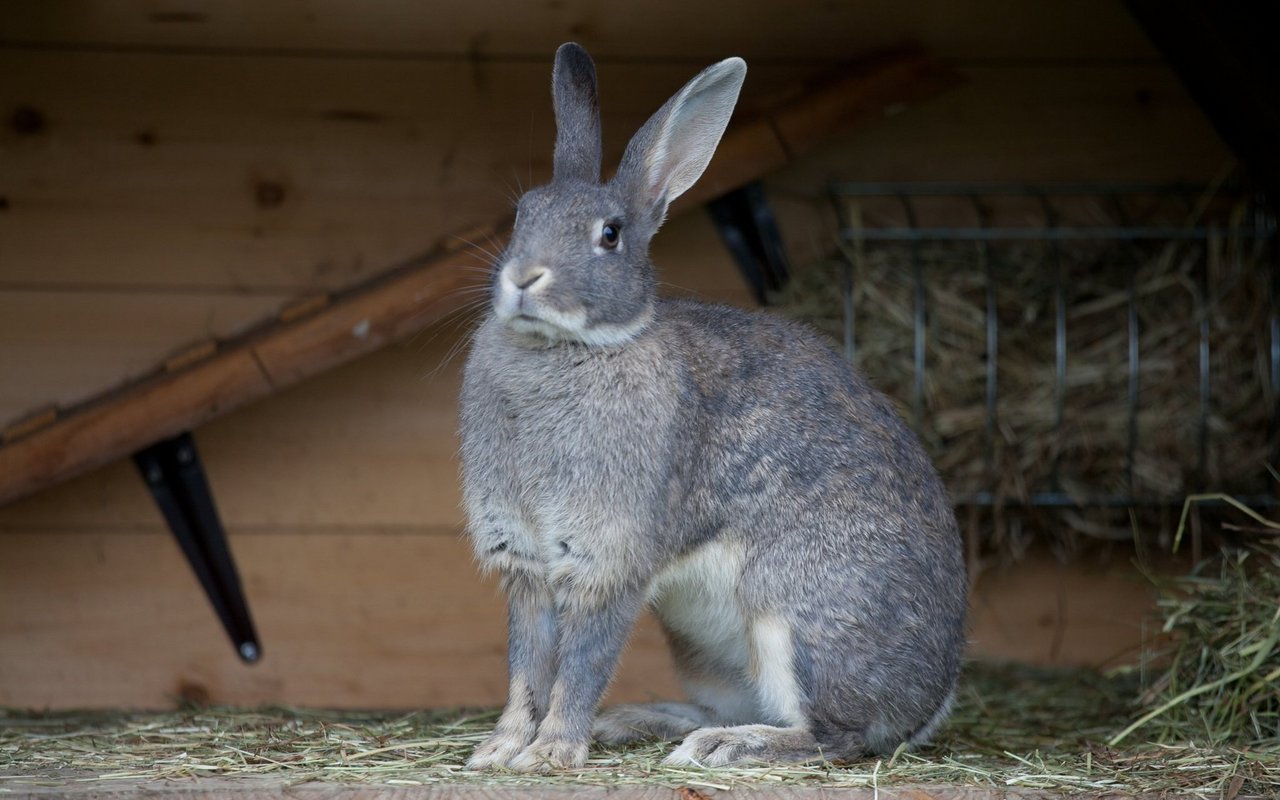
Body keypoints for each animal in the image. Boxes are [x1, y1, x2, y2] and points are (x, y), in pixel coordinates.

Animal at [455, 42, 962, 768]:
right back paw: (637, 721)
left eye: (609, 235)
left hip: (796, 615)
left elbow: (579, 665)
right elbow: (527, 666)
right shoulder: (524, 565)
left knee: (836, 735)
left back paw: (722, 746)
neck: (571, 345)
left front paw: (552, 753)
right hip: (705, 649)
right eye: (523, 214)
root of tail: (932, 701)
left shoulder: (611, 559)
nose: (524, 278)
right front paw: (498, 750)